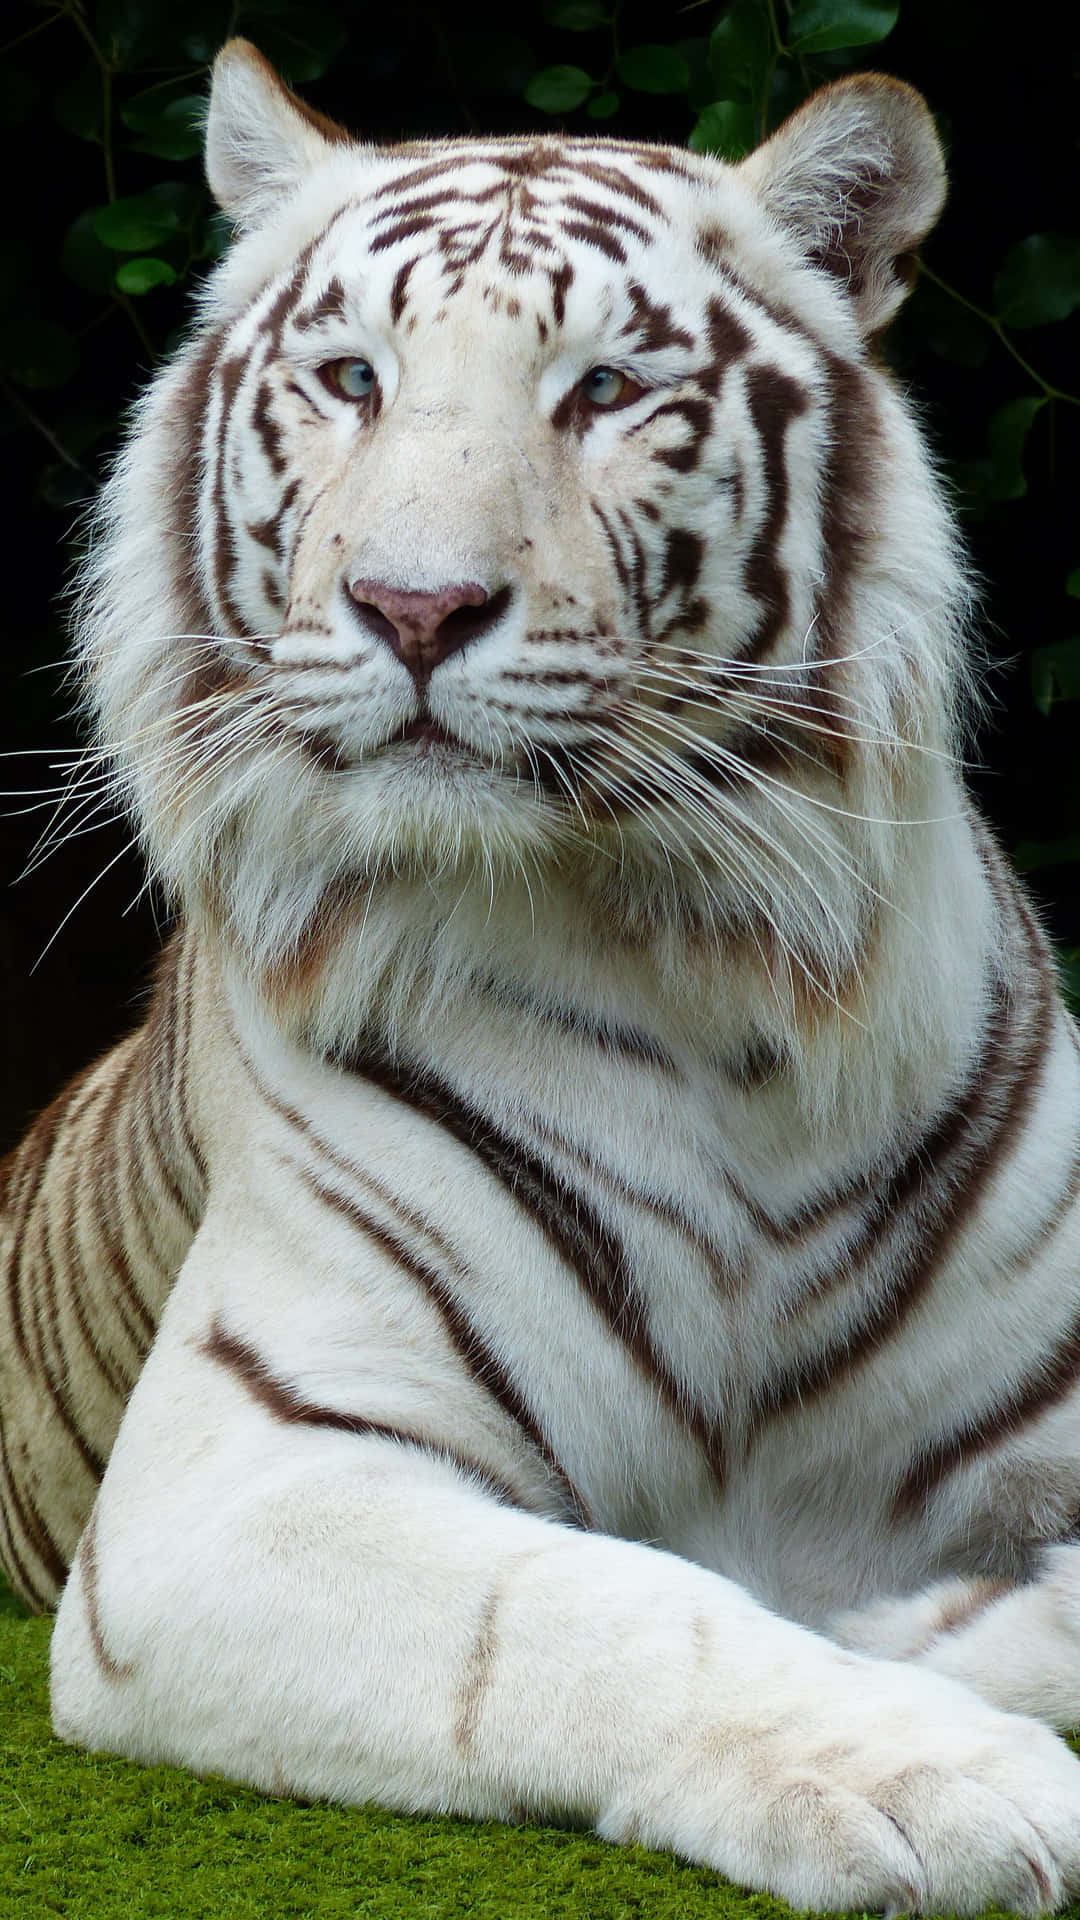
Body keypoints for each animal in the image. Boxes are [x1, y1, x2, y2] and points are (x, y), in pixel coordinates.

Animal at [4, 33, 1080, 1913]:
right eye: (352, 380)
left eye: (607, 392)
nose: (413, 607)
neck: (708, 978)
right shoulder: (234, 1483)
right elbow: (600, 1608)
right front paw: (942, 1765)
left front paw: (935, 1634)